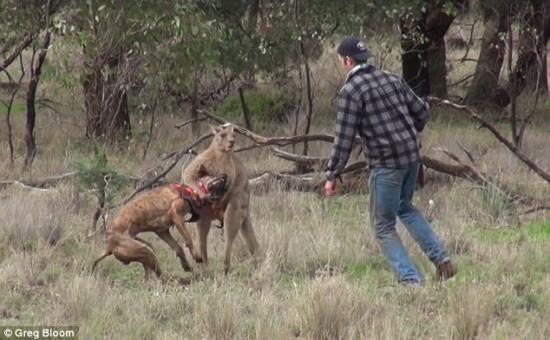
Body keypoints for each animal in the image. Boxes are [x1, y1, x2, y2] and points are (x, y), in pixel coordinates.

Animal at [92, 173, 229, 282]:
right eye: (210, 175)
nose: (225, 174)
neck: (191, 191)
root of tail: (109, 247)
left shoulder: (162, 231)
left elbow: (178, 248)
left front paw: (186, 265)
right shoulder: (176, 215)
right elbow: (188, 239)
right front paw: (197, 256)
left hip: (146, 248)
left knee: (150, 270)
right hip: (144, 250)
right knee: (159, 273)